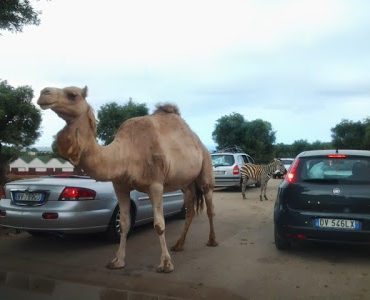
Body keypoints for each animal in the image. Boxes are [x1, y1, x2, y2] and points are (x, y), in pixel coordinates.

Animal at [37, 85, 217, 274]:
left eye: (72, 95)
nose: (44, 93)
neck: (126, 153)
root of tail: (200, 144)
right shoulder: (120, 186)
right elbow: (124, 224)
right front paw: (117, 261)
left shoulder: (156, 185)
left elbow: (159, 225)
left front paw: (166, 264)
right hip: (186, 184)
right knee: (190, 210)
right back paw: (179, 245)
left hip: (205, 167)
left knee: (209, 205)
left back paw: (212, 241)